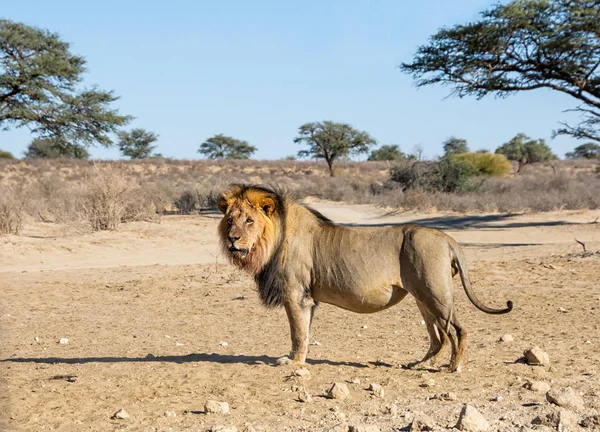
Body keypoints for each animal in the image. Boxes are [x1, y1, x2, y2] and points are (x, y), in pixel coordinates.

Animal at [218, 184, 512, 372]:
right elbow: (305, 331)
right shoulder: (308, 300)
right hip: (423, 297)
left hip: (435, 293)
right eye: (230, 220)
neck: (270, 242)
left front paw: (293, 363)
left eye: (249, 221)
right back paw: (420, 364)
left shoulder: (296, 295)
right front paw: (299, 359)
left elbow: (297, 333)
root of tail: (447, 238)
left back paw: (453, 367)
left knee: (457, 330)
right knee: (438, 337)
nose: (232, 239)